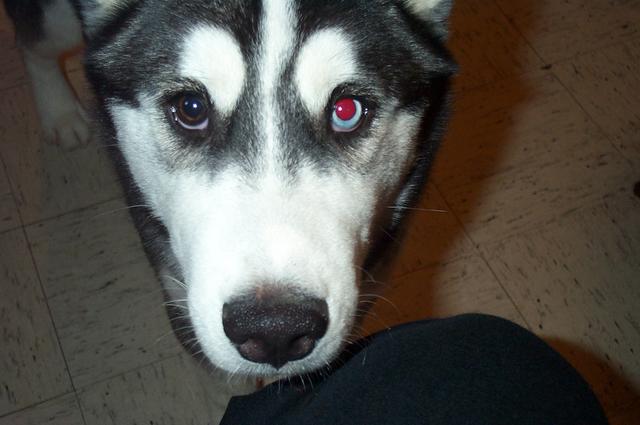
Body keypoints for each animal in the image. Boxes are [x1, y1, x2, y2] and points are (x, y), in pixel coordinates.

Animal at [5, 0, 456, 379]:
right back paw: (59, 112)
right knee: (35, 43)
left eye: (347, 111)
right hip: (56, 21)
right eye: (190, 108)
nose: (275, 330)